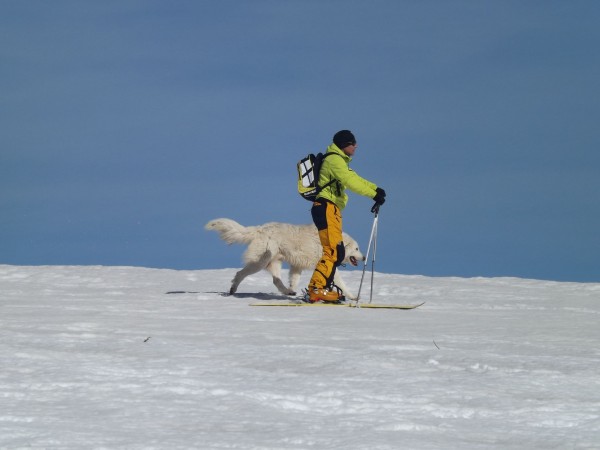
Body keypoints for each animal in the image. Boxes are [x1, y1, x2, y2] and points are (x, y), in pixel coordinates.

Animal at [206, 218, 366, 298]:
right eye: (357, 249)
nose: (364, 257)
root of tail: (261, 228)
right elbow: (341, 283)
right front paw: (352, 296)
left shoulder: (297, 266)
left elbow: (294, 280)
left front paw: (294, 292)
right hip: (260, 262)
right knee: (240, 273)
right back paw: (233, 289)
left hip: (275, 262)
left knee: (276, 280)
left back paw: (287, 292)